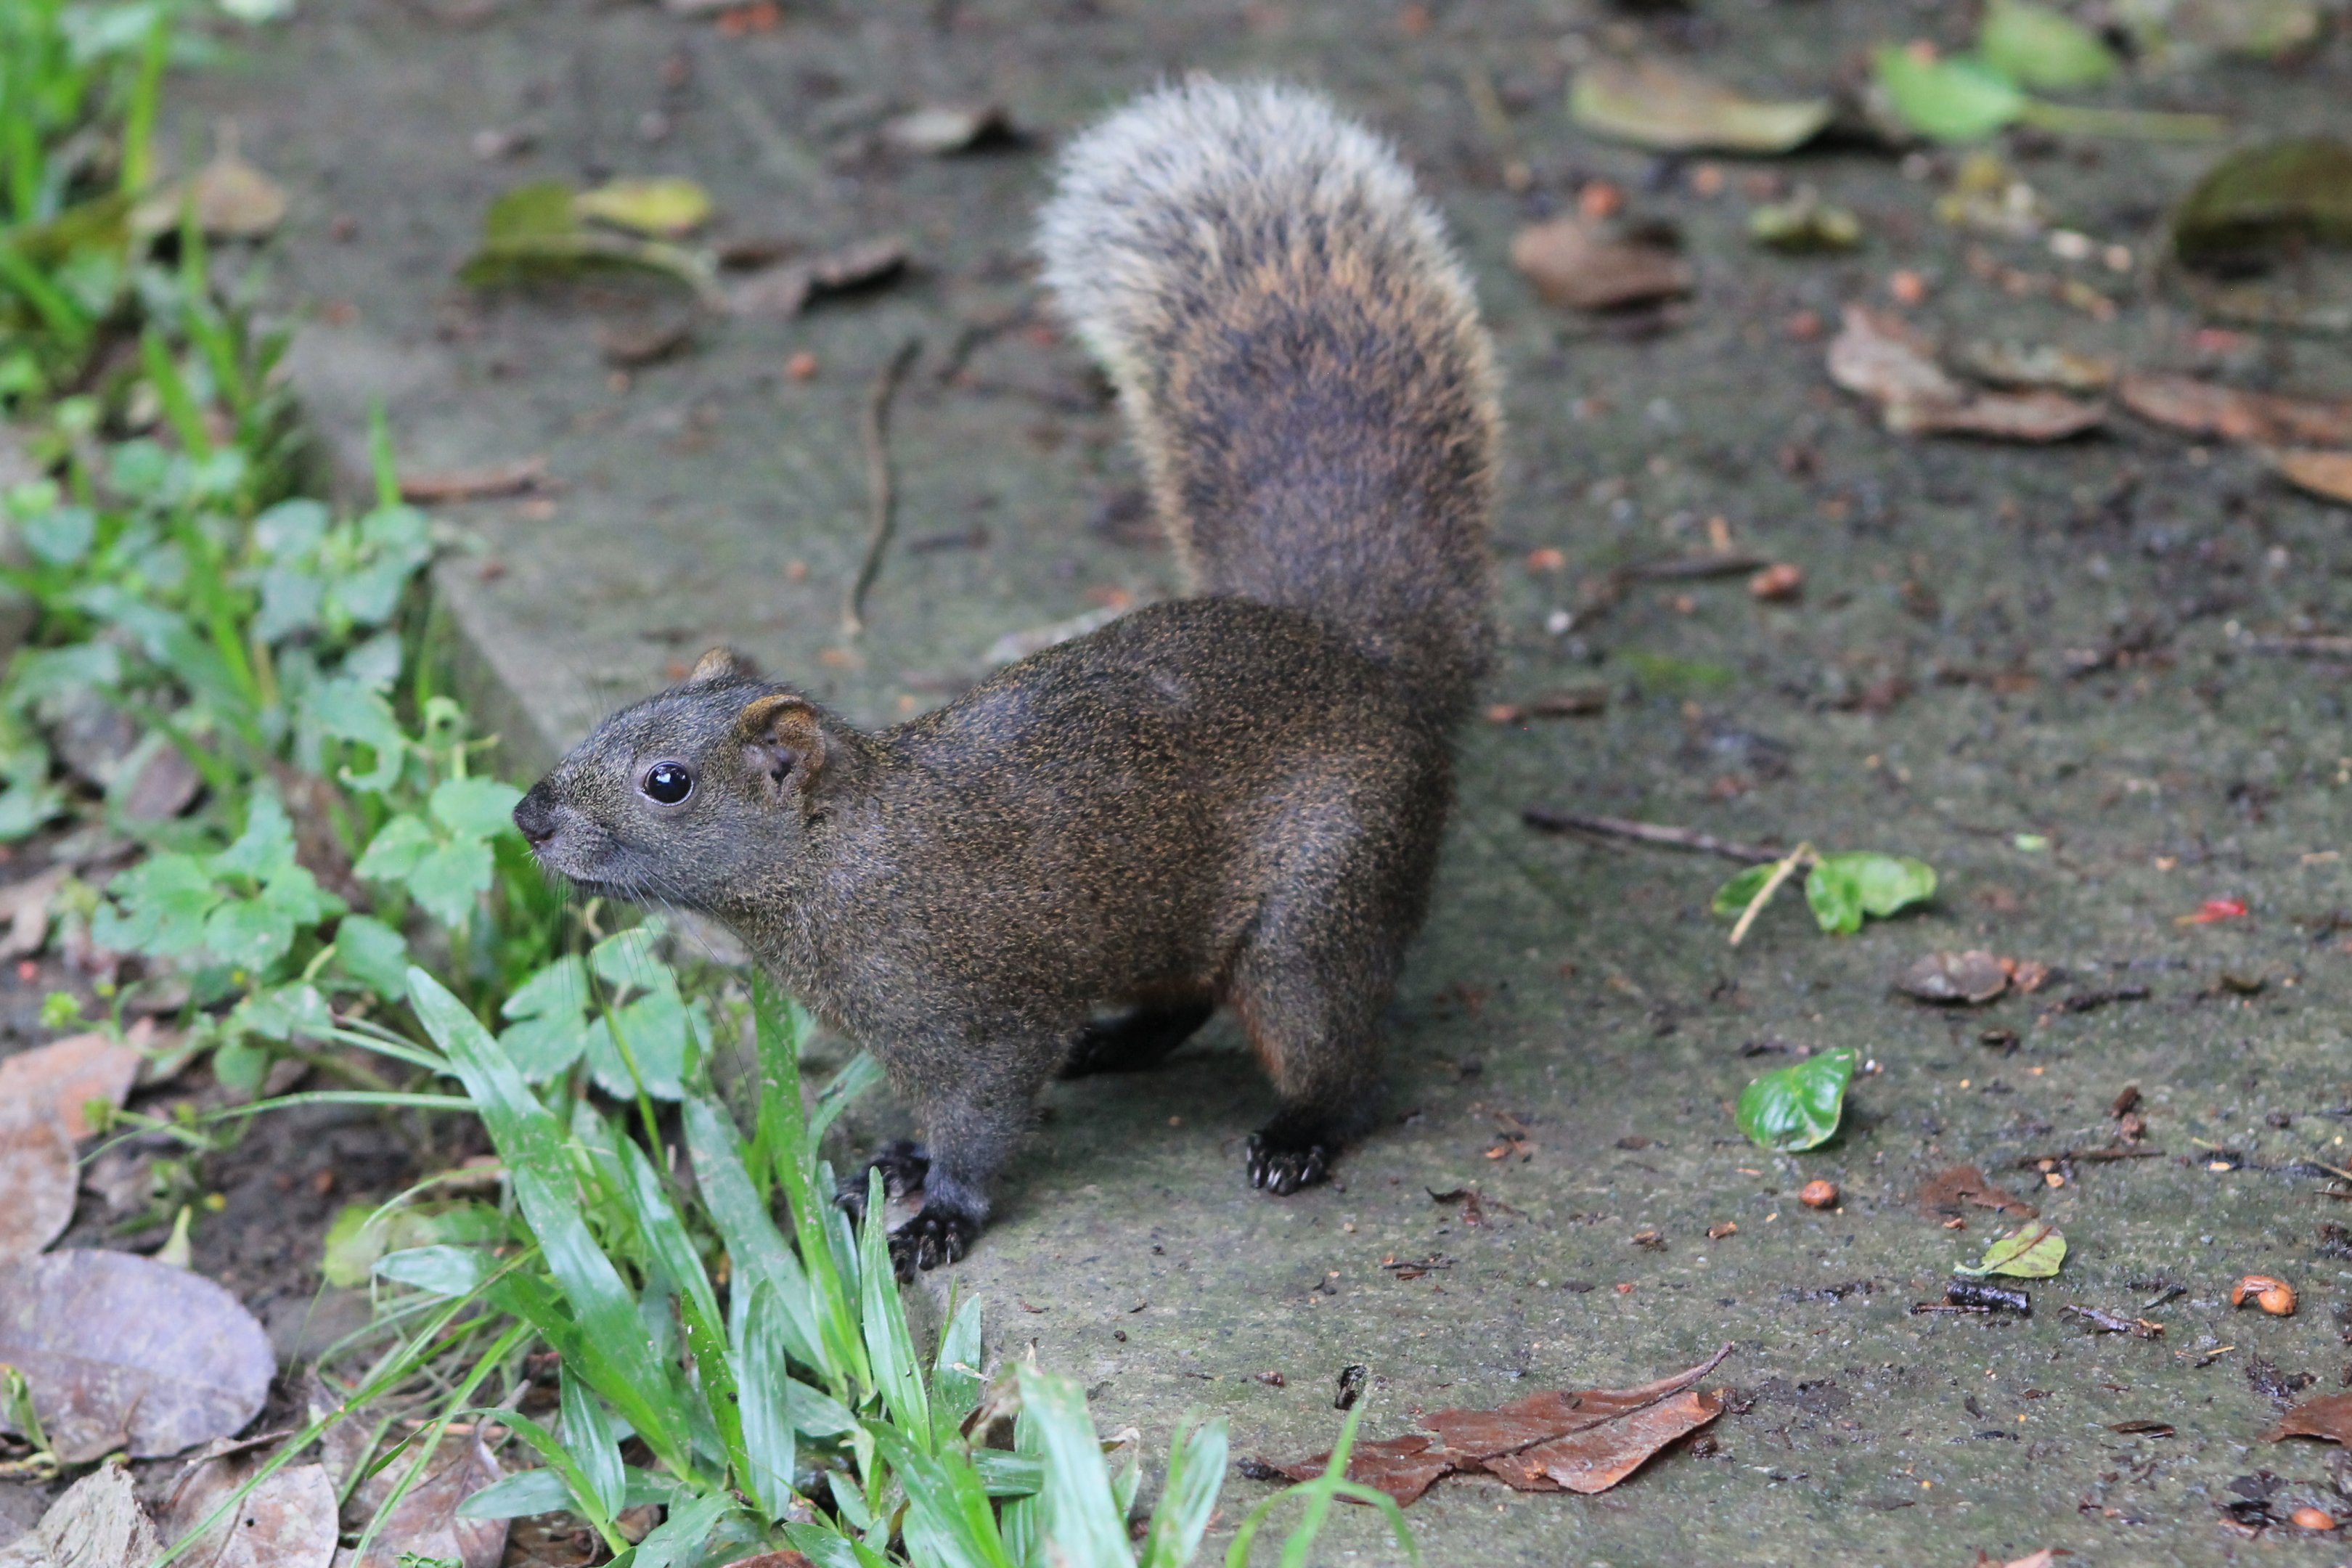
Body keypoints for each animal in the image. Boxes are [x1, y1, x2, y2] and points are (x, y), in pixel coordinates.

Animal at [513, 78, 1500, 1275]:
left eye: (668, 782)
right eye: (620, 712)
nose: (528, 816)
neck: (841, 865)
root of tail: (1369, 661)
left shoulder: (976, 1017)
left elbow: (983, 1120)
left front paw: (940, 1214)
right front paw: (895, 1159)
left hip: (1319, 909)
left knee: (1337, 1050)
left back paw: (1299, 1135)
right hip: (1158, 923)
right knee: (1181, 999)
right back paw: (1114, 1045)